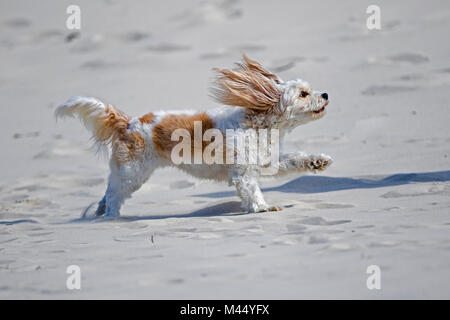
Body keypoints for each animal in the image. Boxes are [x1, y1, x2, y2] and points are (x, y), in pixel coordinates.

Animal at [55, 55, 330, 218]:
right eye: (304, 94)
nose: (326, 94)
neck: (259, 122)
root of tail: (128, 122)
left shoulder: (266, 161)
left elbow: (295, 158)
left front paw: (317, 161)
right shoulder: (243, 172)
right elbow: (252, 190)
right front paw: (262, 207)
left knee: (107, 193)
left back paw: (99, 213)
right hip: (133, 173)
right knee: (114, 195)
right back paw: (112, 217)